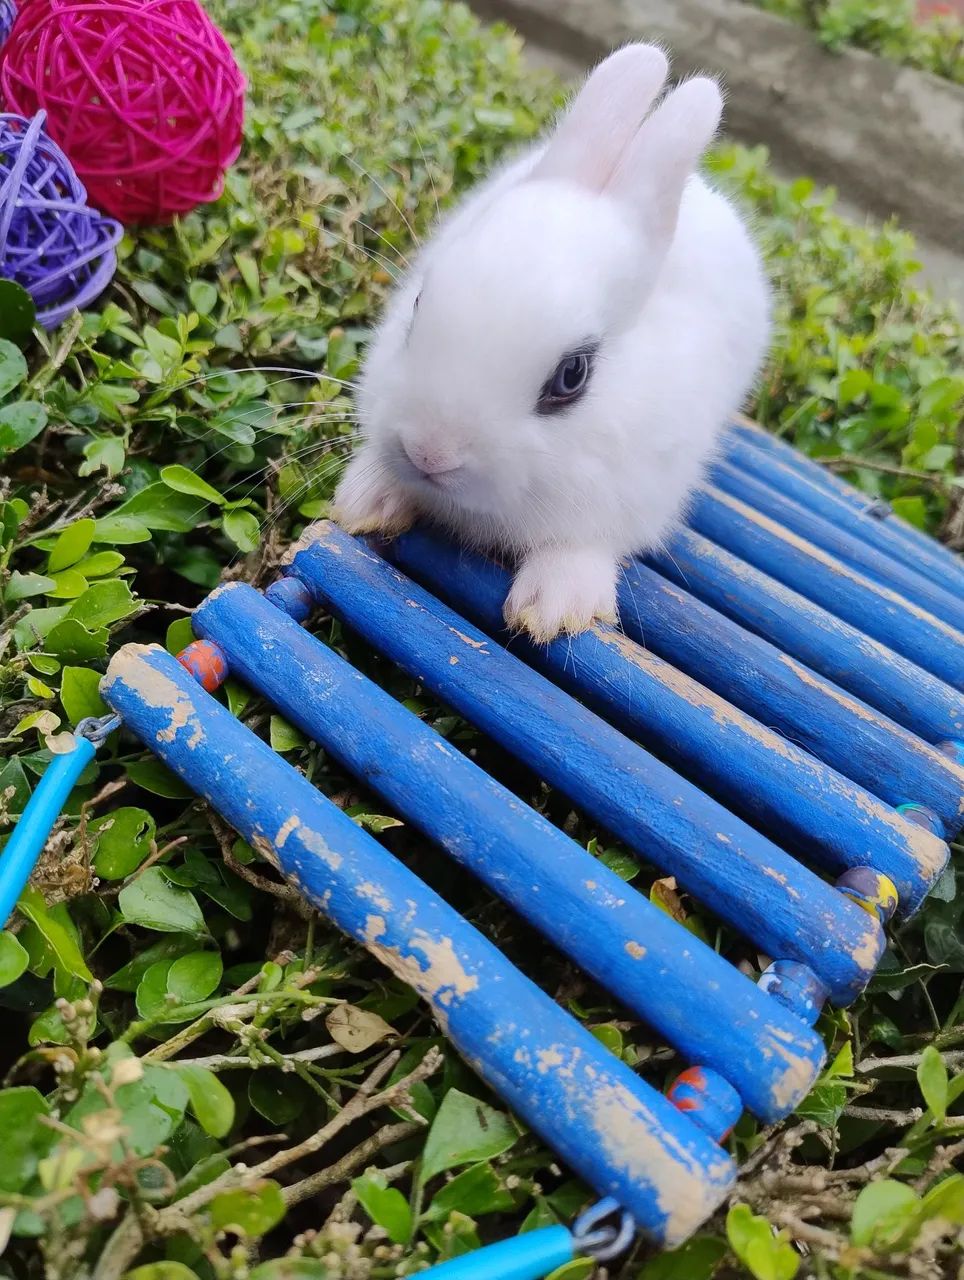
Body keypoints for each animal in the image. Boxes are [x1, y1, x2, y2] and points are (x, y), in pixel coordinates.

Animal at [332, 43, 771, 642]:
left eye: (572, 375)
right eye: (419, 305)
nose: (429, 452)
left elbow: (583, 546)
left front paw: (554, 611)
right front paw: (365, 501)